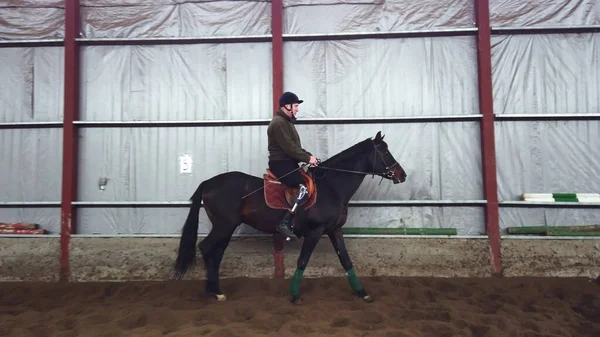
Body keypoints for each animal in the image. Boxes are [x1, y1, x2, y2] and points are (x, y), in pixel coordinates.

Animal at [173, 131, 408, 302]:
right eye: (385, 152)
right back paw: (213, 291)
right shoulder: (316, 231)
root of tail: (208, 182)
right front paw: (294, 295)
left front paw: (362, 292)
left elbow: (346, 260)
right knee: (206, 248)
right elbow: (302, 261)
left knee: (216, 253)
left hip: (226, 228)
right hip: (224, 226)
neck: (332, 186)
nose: (402, 175)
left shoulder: (335, 230)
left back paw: (216, 290)